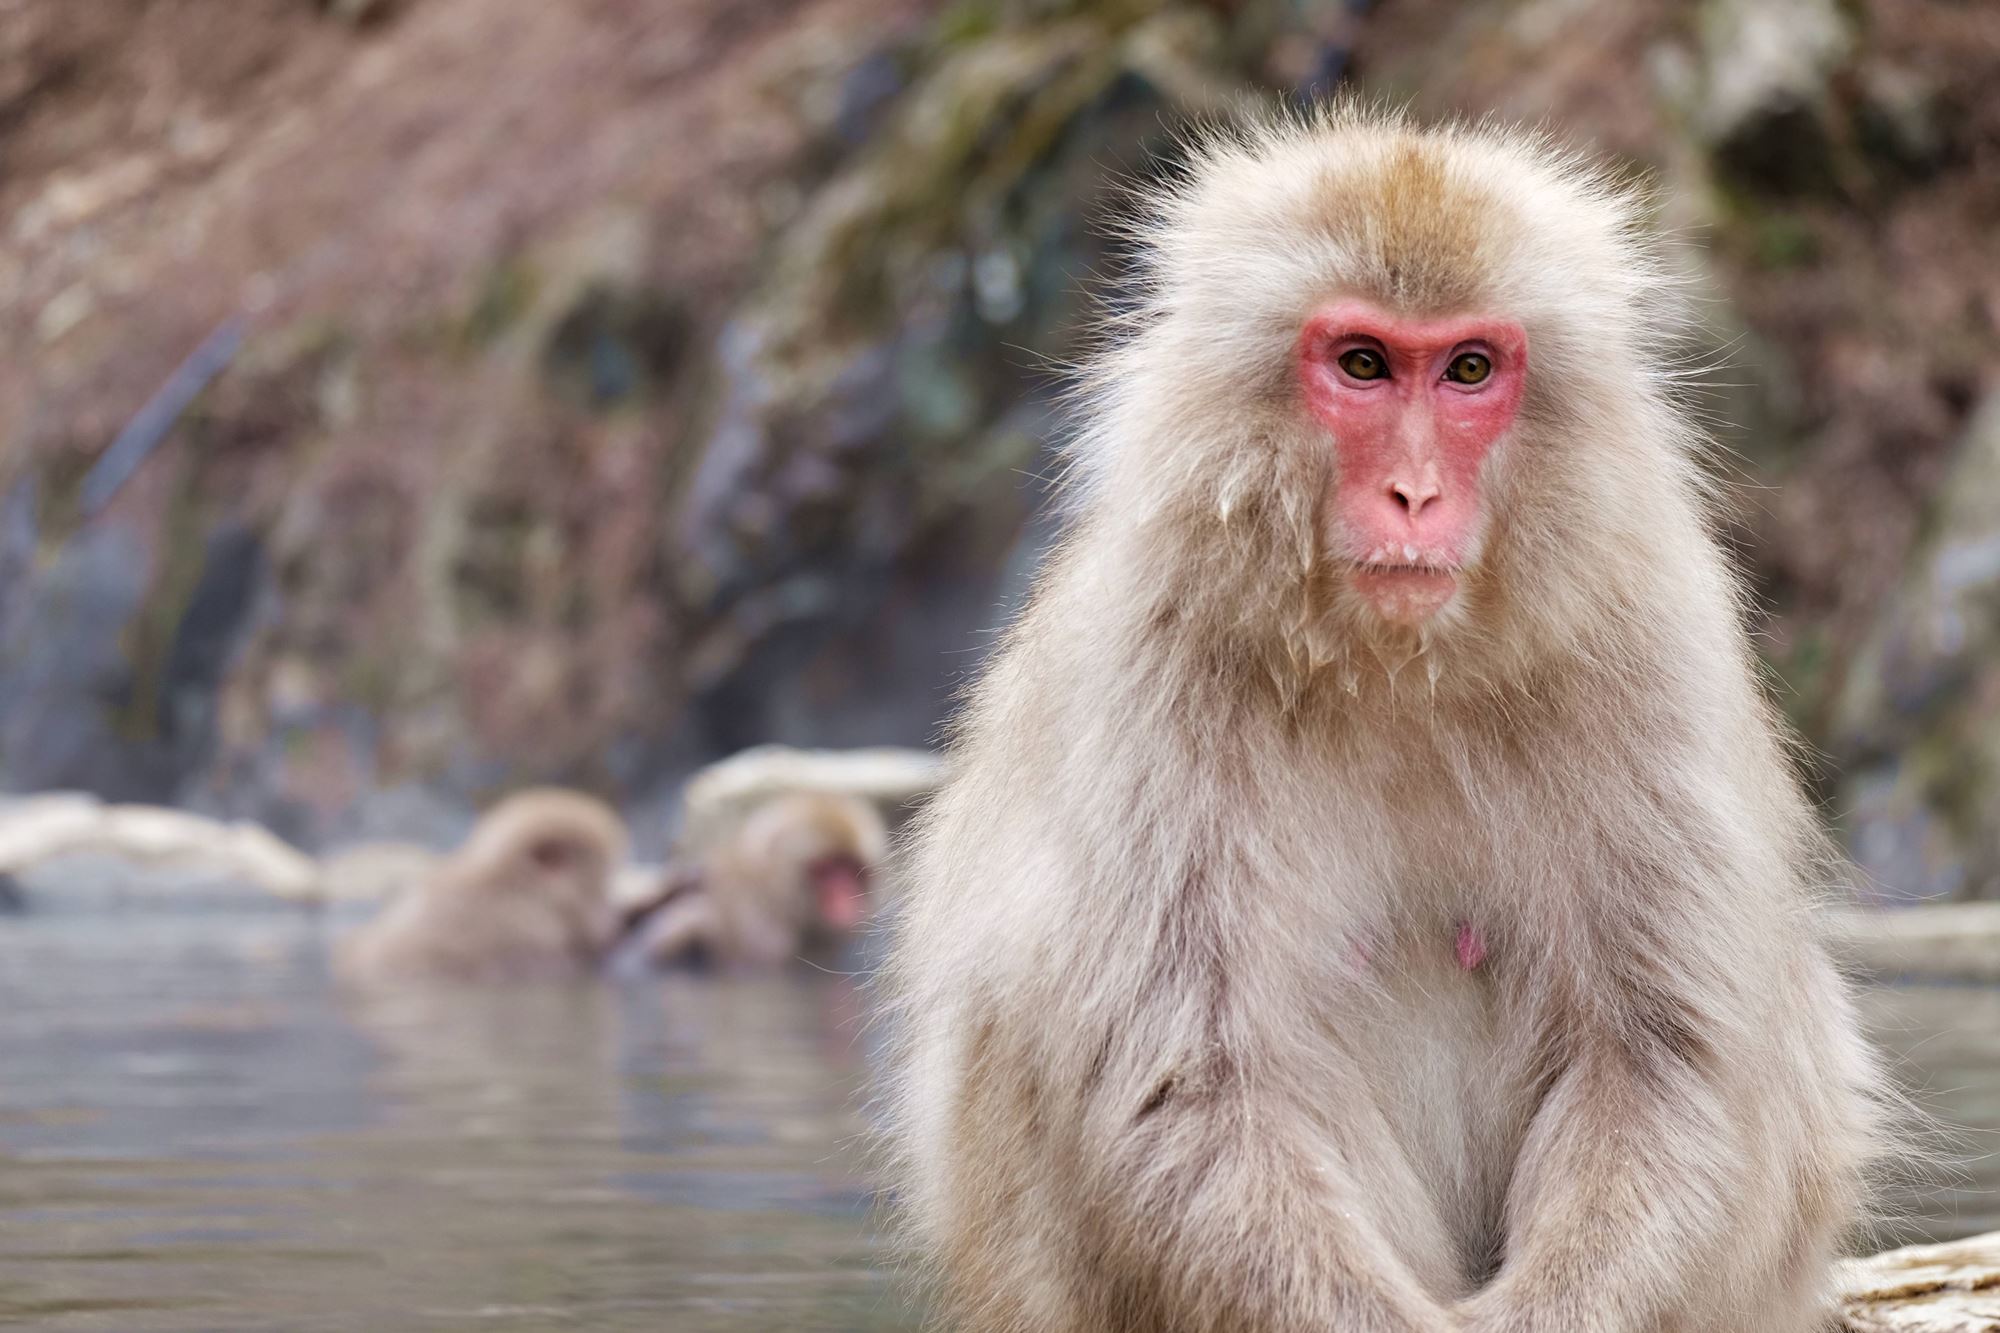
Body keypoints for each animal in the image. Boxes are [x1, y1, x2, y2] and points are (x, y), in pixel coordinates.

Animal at [879, 106, 1887, 1333]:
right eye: (1362, 364)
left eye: (1467, 369)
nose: (1414, 493)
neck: (1395, 667)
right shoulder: (1142, 667)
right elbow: (1193, 1081)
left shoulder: (1649, 652)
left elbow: (1659, 1059)